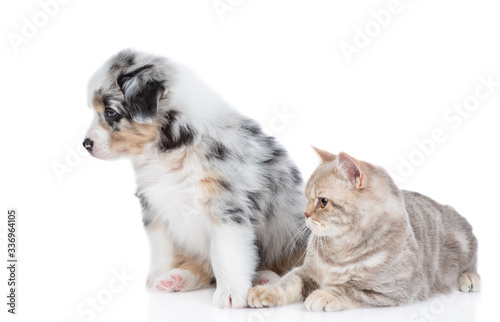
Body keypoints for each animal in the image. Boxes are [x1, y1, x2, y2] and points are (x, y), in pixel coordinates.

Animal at [82, 49, 308, 308]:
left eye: (110, 112)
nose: (86, 144)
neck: (172, 149)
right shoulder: (155, 207)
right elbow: (162, 247)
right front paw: (159, 274)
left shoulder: (226, 207)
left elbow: (224, 253)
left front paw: (230, 293)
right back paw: (177, 278)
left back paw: (266, 278)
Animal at [248, 147, 478, 310]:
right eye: (306, 197)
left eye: (323, 202)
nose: (305, 214)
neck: (339, 250)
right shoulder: (306, 271)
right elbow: (289, 282)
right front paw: (266, 291)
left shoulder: (397, 289)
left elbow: (349, 289)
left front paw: (324, 294)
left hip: (464, 243)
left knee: (472, 262)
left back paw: (469, 278)